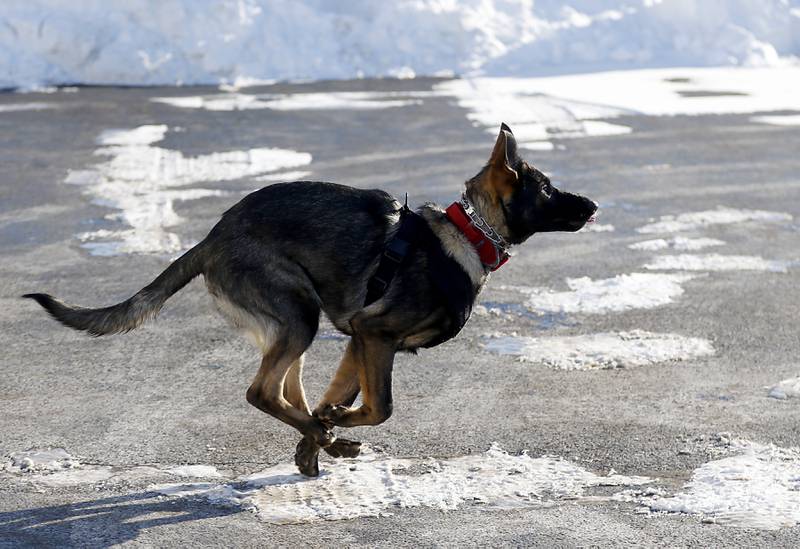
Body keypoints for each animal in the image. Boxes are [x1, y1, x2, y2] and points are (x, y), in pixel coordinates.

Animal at [25, 123, 596, 476]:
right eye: (547, 190)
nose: (593, 205)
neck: (469, 235)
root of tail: (212, 237)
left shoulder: (361, 342)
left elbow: (339, 398)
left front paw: (325, 430)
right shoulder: (374, 335)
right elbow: (381, 407)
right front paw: (335, 426)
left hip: (297, 324)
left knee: (289, 394)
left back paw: (323, 441)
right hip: (298, 315)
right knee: (261, 393)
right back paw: (324, 437)